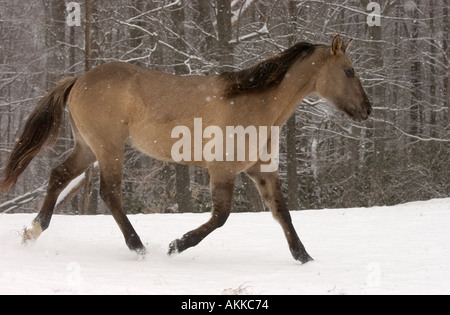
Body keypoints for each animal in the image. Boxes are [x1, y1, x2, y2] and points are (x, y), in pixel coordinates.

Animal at [1, 35, 370, 264]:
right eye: (349, 71)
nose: (367, 110)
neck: (256, 104)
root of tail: (78, 79)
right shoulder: (222, 170)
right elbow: (220, 216)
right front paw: (176, 245)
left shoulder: (262, 171)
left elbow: (282, 213)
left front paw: (304, 257)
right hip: (108, 148)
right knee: (109, 192)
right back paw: (138, 247)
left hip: (88, 148)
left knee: (58, 175)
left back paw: (33, 231)